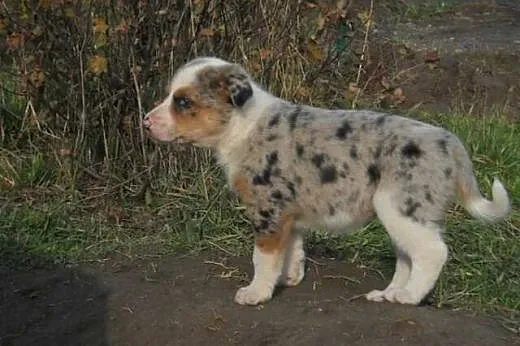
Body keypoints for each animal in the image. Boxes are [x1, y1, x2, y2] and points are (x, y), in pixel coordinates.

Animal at [144, 56, 510, 306]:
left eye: (183, 102)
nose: (145, 122)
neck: (241, 125)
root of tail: (451, 143)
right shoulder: (288, 212)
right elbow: (292, 248)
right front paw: (290, 278)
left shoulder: (267, 210)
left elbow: (263, 257)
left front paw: (257, 292)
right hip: (403, 217)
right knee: (409, 256)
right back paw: (390, 293)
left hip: (401, 207)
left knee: (433, 252)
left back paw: (409, 297)